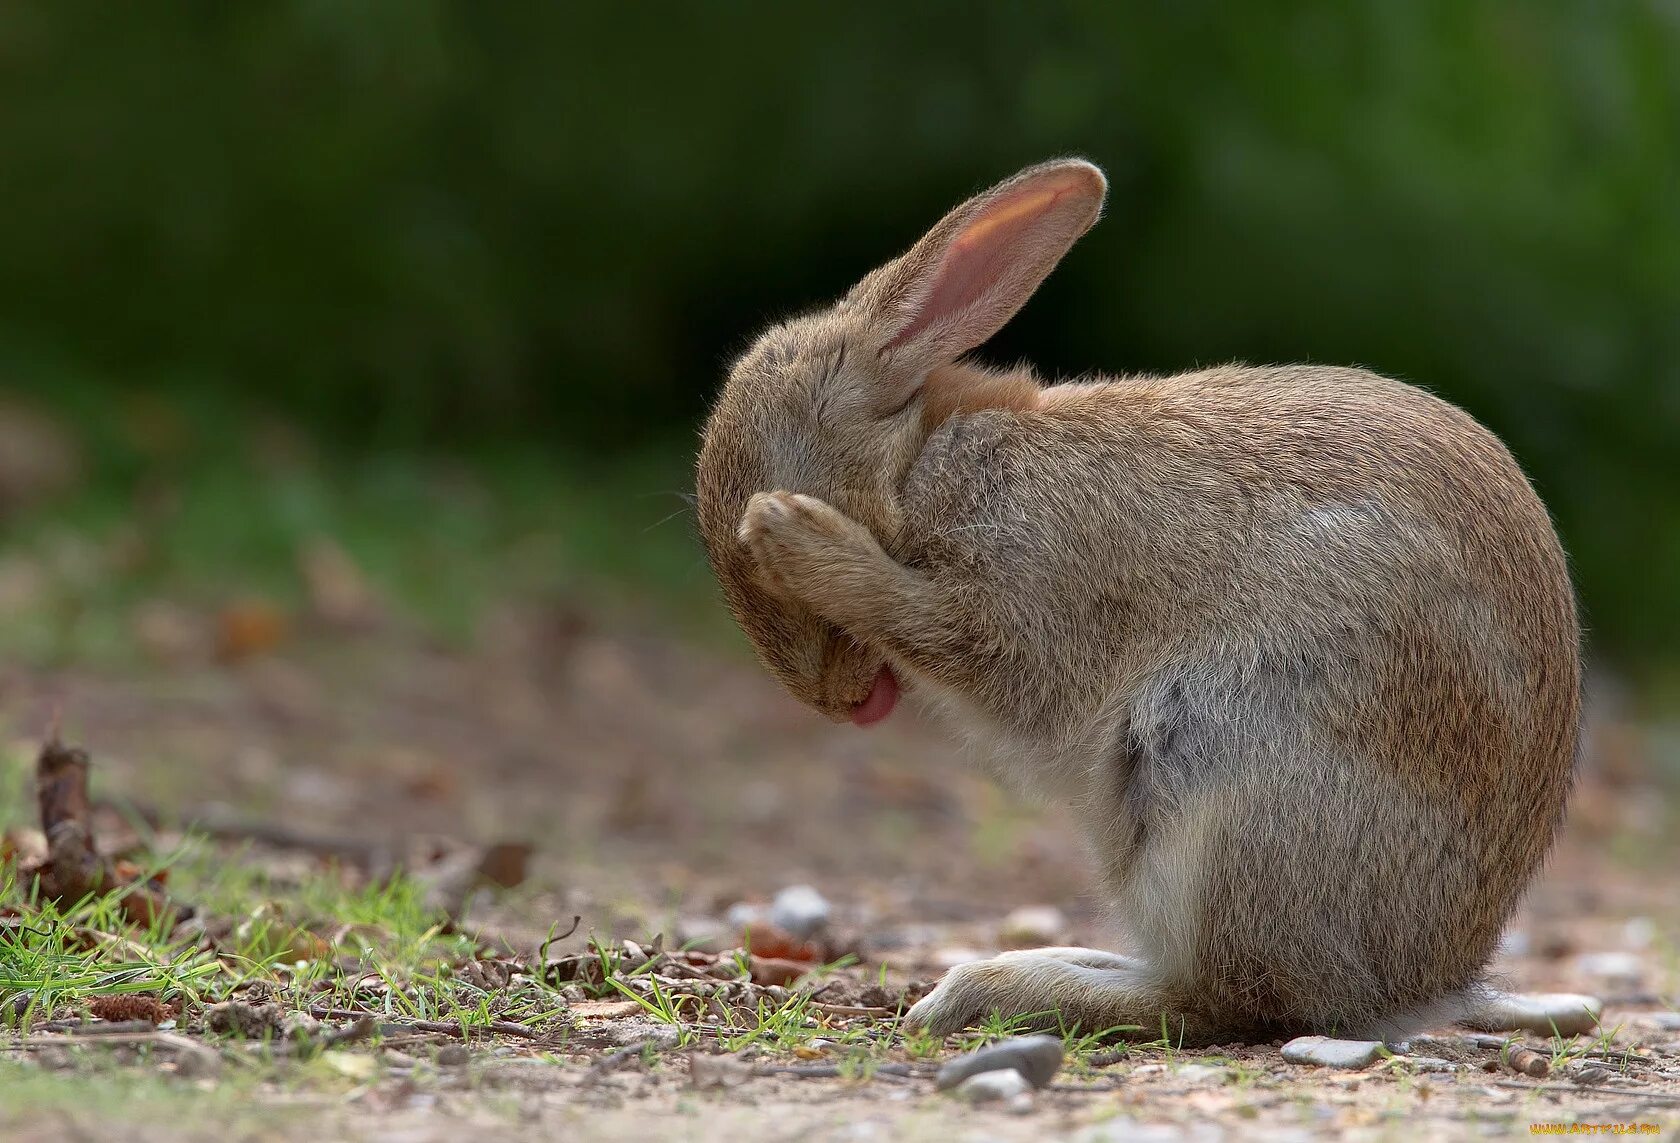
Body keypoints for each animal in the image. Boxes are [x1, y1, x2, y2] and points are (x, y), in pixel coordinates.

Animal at [692, 160, 1585, 1042]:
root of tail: (1433, 981)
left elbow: (952, 632)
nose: (833, 701)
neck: (921, 459)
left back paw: (987, 990)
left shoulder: (1024, 598)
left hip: (1226, 776)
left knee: (1230, 1001)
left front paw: (793, 533)